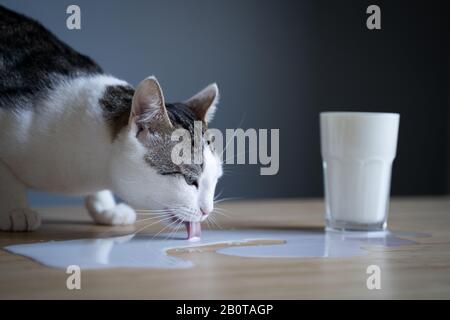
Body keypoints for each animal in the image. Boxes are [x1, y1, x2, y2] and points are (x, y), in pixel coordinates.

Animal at [0, 5, 223, 240]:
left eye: (216, 178)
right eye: (189, 180)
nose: (207, 211)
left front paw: (105, 207)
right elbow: (6, 176)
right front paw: (15, 209)